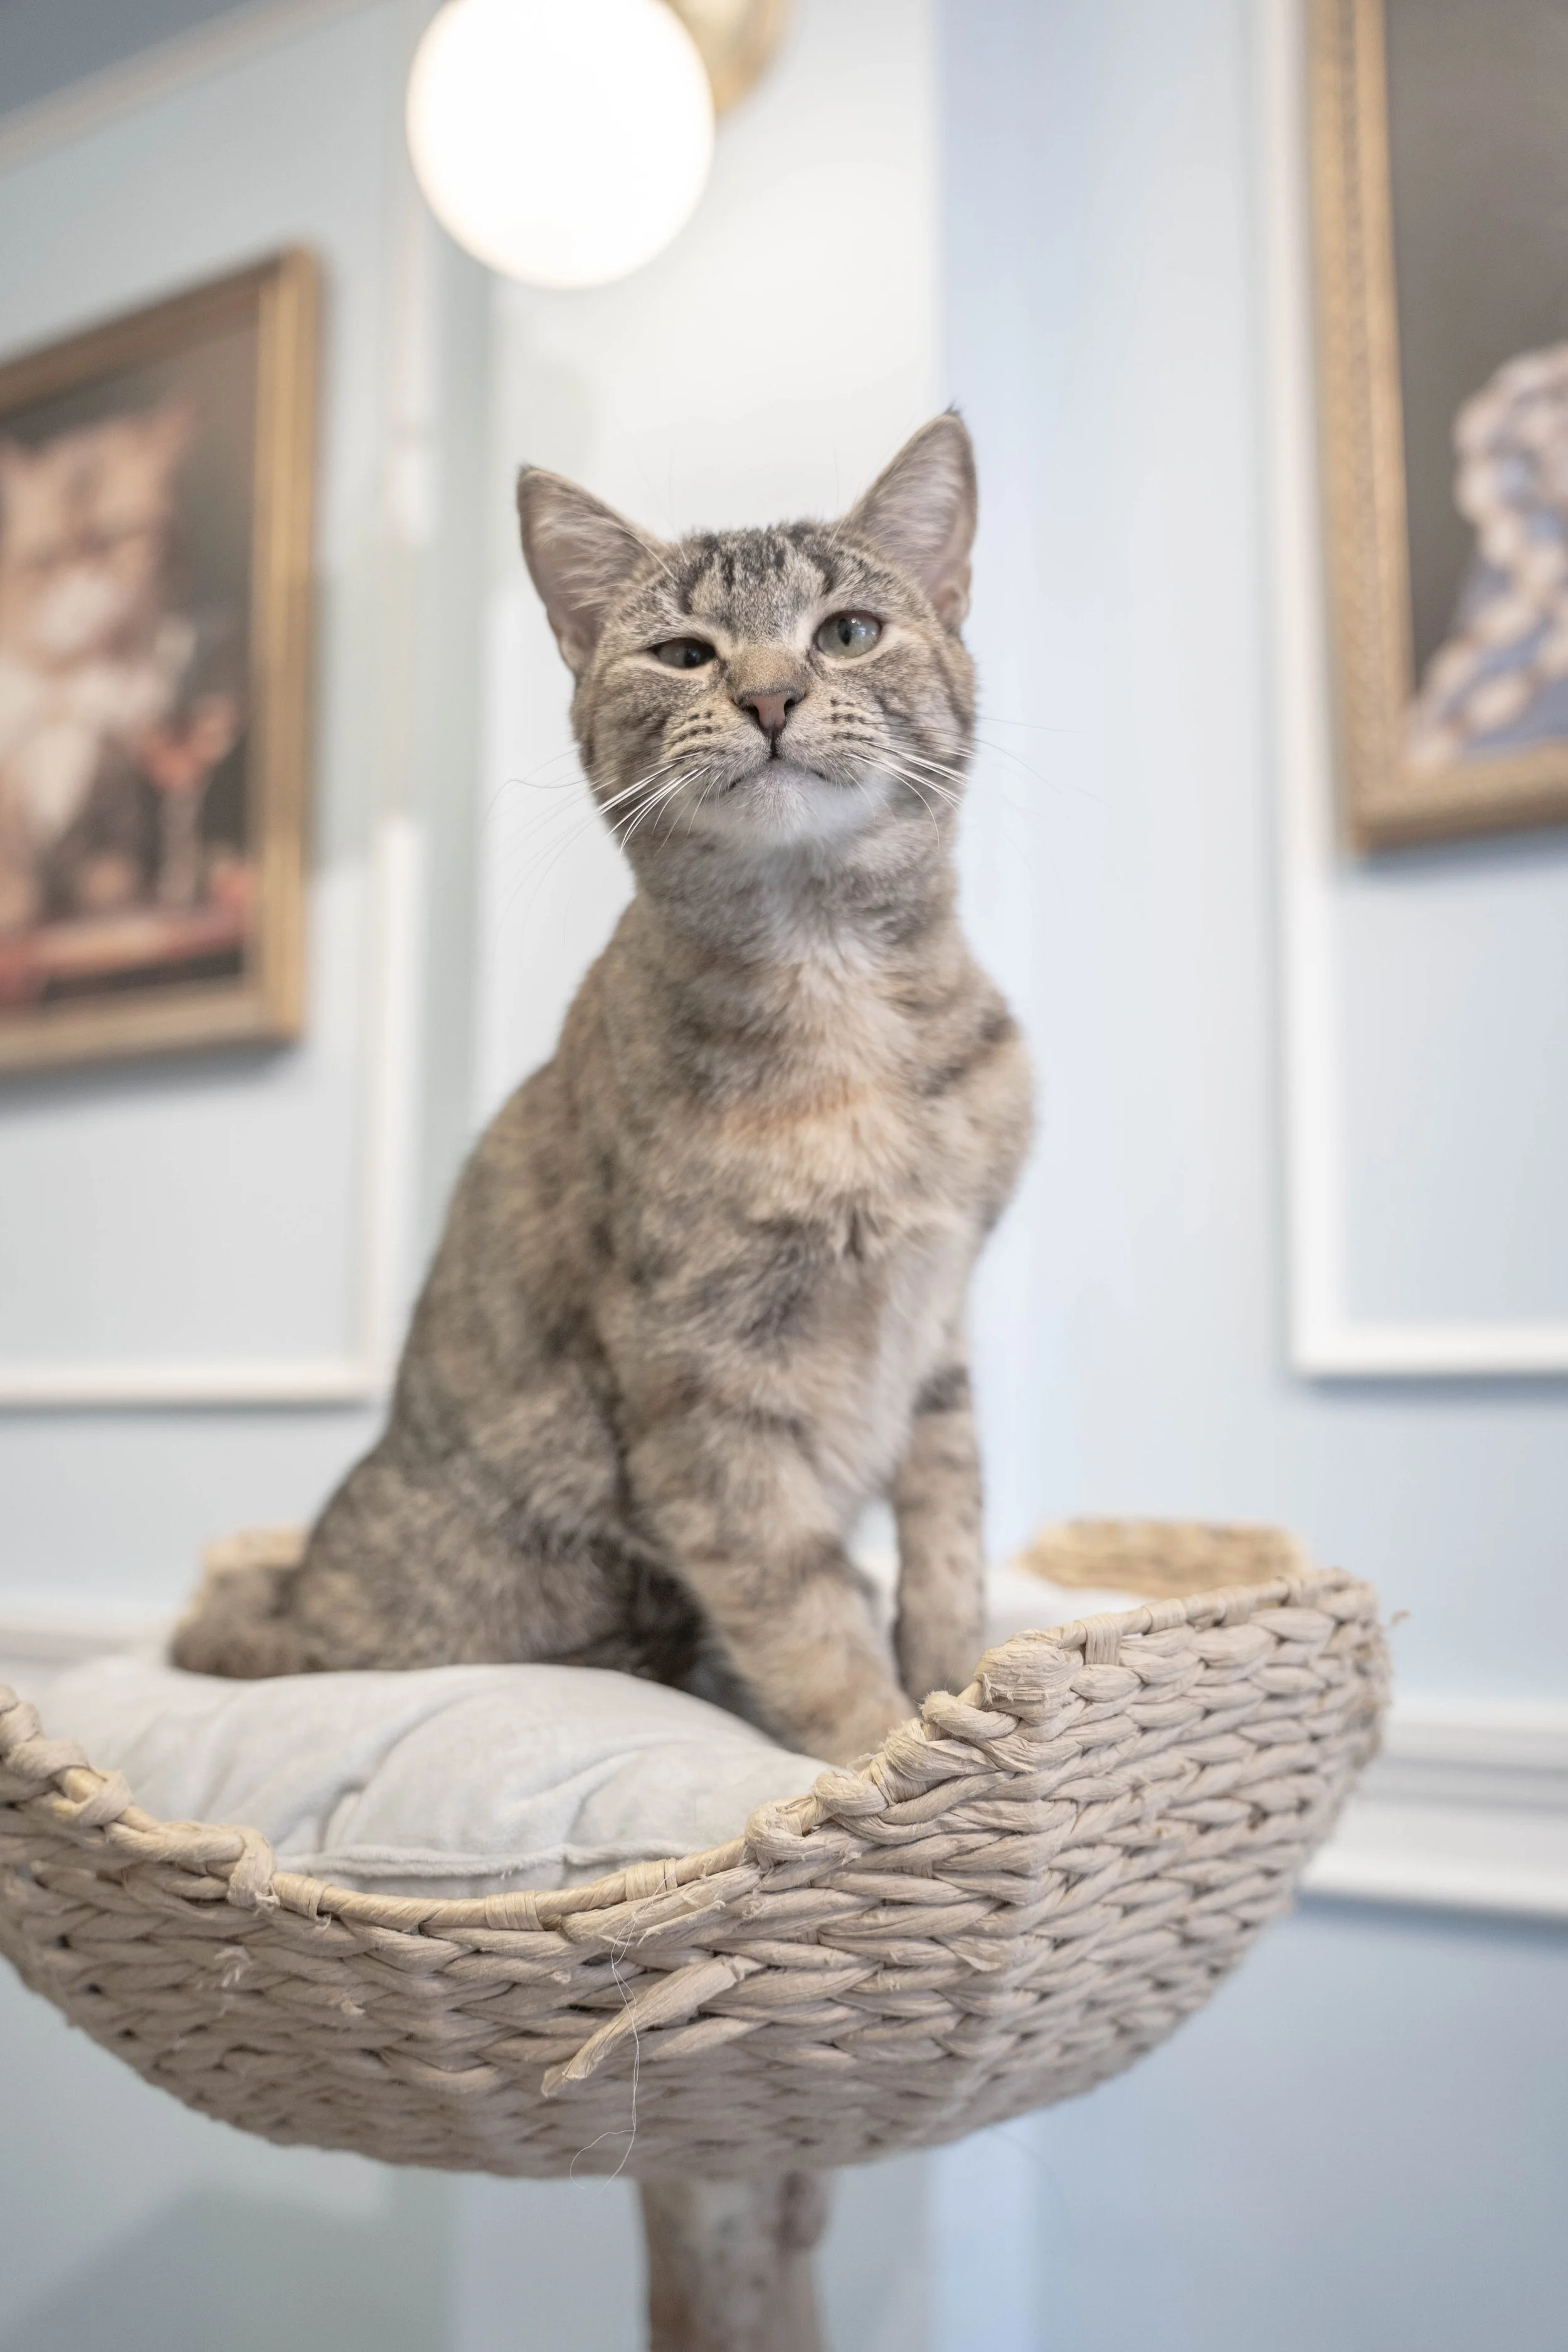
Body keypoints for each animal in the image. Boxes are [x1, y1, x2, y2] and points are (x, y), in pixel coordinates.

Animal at [0, 398, 196, 932]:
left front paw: (108, 886)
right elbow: (13, 844)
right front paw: (14, 900)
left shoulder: (117, 773)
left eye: (117, 534)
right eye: (46, 556)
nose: (84, 570)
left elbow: (104, 839)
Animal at [174, 415, 1033, 1766]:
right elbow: (808, 1619)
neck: (836, 991)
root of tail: (295, 1617)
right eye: (683, 654)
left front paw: (956, 1693)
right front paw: (875, 1751)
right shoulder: (702, 1394)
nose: (769, 695)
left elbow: (948, 1541)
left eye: (846, 630)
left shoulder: (934, 1336)